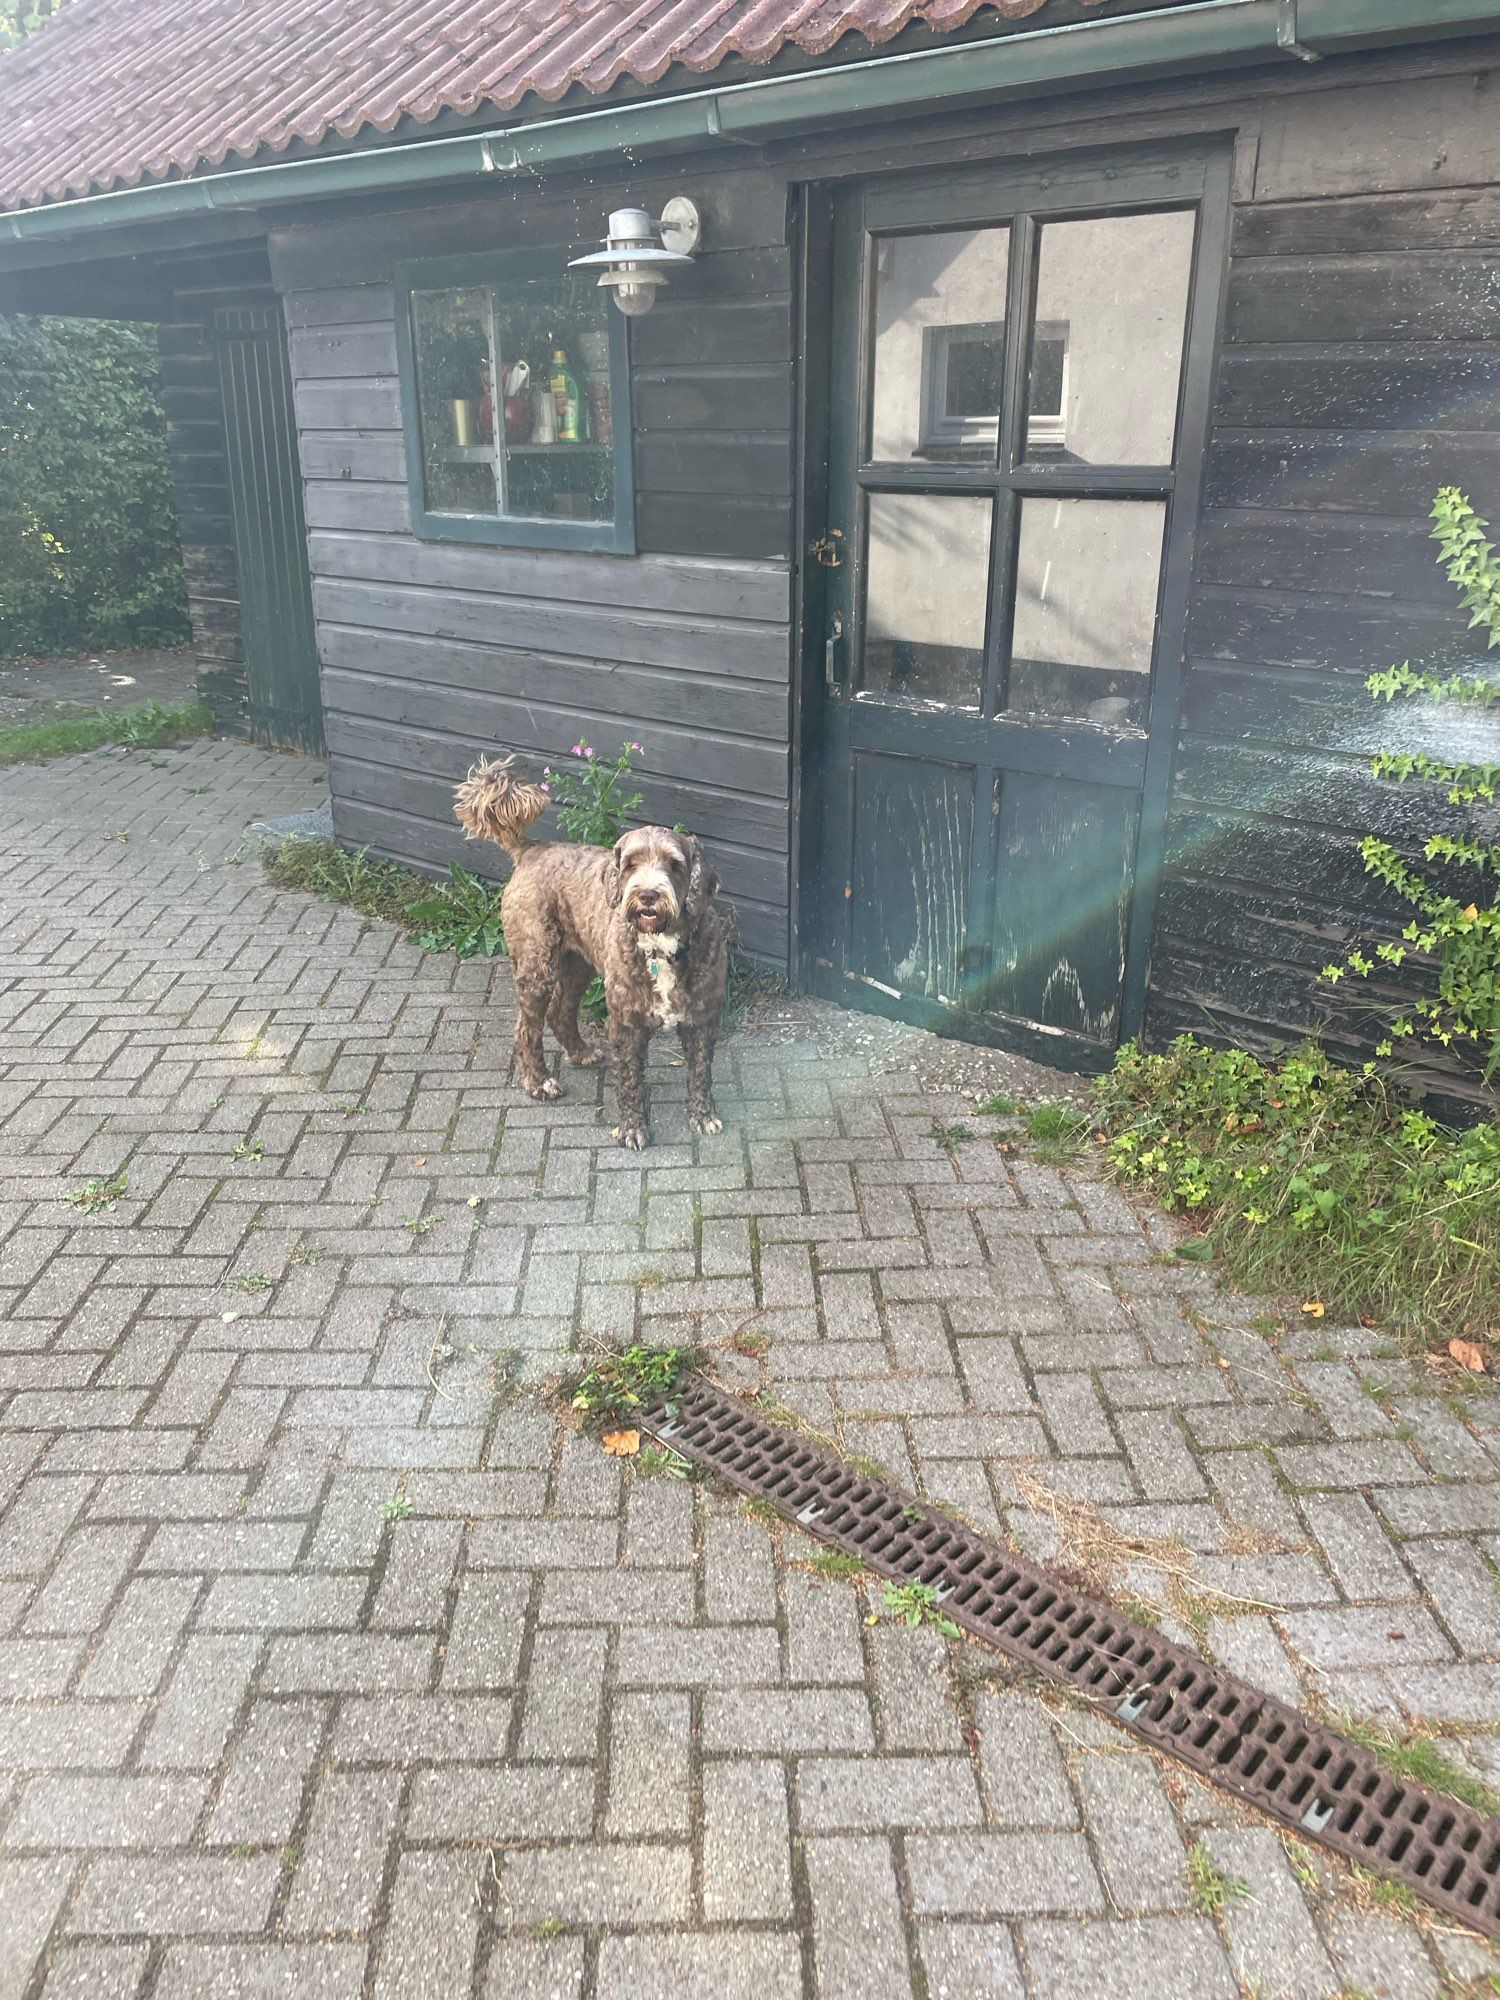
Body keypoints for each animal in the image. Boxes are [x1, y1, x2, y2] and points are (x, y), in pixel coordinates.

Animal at [456, 752, 732, 1160]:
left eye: (674, 864)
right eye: (630, 863)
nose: (647, 894)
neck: (661, 947)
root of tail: (532, 849)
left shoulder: (702, 1018)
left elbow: (701, 1072)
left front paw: (703, 1116)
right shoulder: (626, 1024)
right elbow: (630, 1081)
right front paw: (632, 1129)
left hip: (578, 964)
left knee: (560, 1011)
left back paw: (580, 1052)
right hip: (537, 964)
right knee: (527, 1027)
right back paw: (539, 1082)